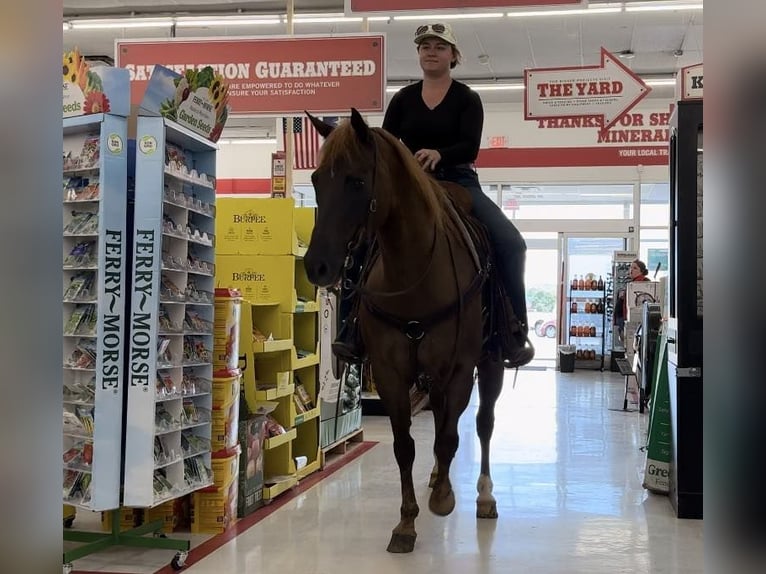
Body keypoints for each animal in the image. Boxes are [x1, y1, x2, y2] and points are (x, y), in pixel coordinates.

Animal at [303, 109, 507, 554]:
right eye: (316, 179)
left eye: (356, 181)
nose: (316, 266)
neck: (415, 271)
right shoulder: (391, 373)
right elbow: (405, 446)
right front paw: (407, 521)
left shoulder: (460, 369)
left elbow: (450, 437)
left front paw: (444, 499)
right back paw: (436, 478)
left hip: (491, 363)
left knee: (483, 423)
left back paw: (484, 496)